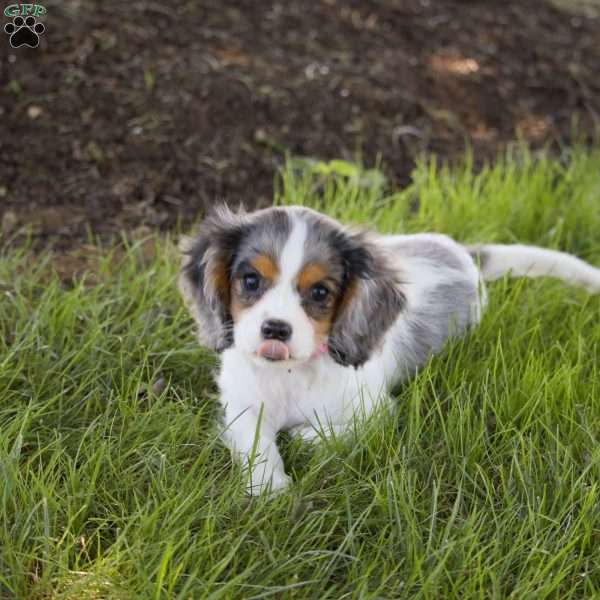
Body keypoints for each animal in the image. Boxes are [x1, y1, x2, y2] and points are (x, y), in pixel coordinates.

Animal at [179, 204, 600, 494]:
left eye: (320, 292)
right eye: (251, 280)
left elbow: (327, 433)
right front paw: (270, 490)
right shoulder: (241, 404)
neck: (289, 373)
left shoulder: (375, 411)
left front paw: (301, 439)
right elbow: (257, 442)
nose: (276, 329)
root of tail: (463, 252)